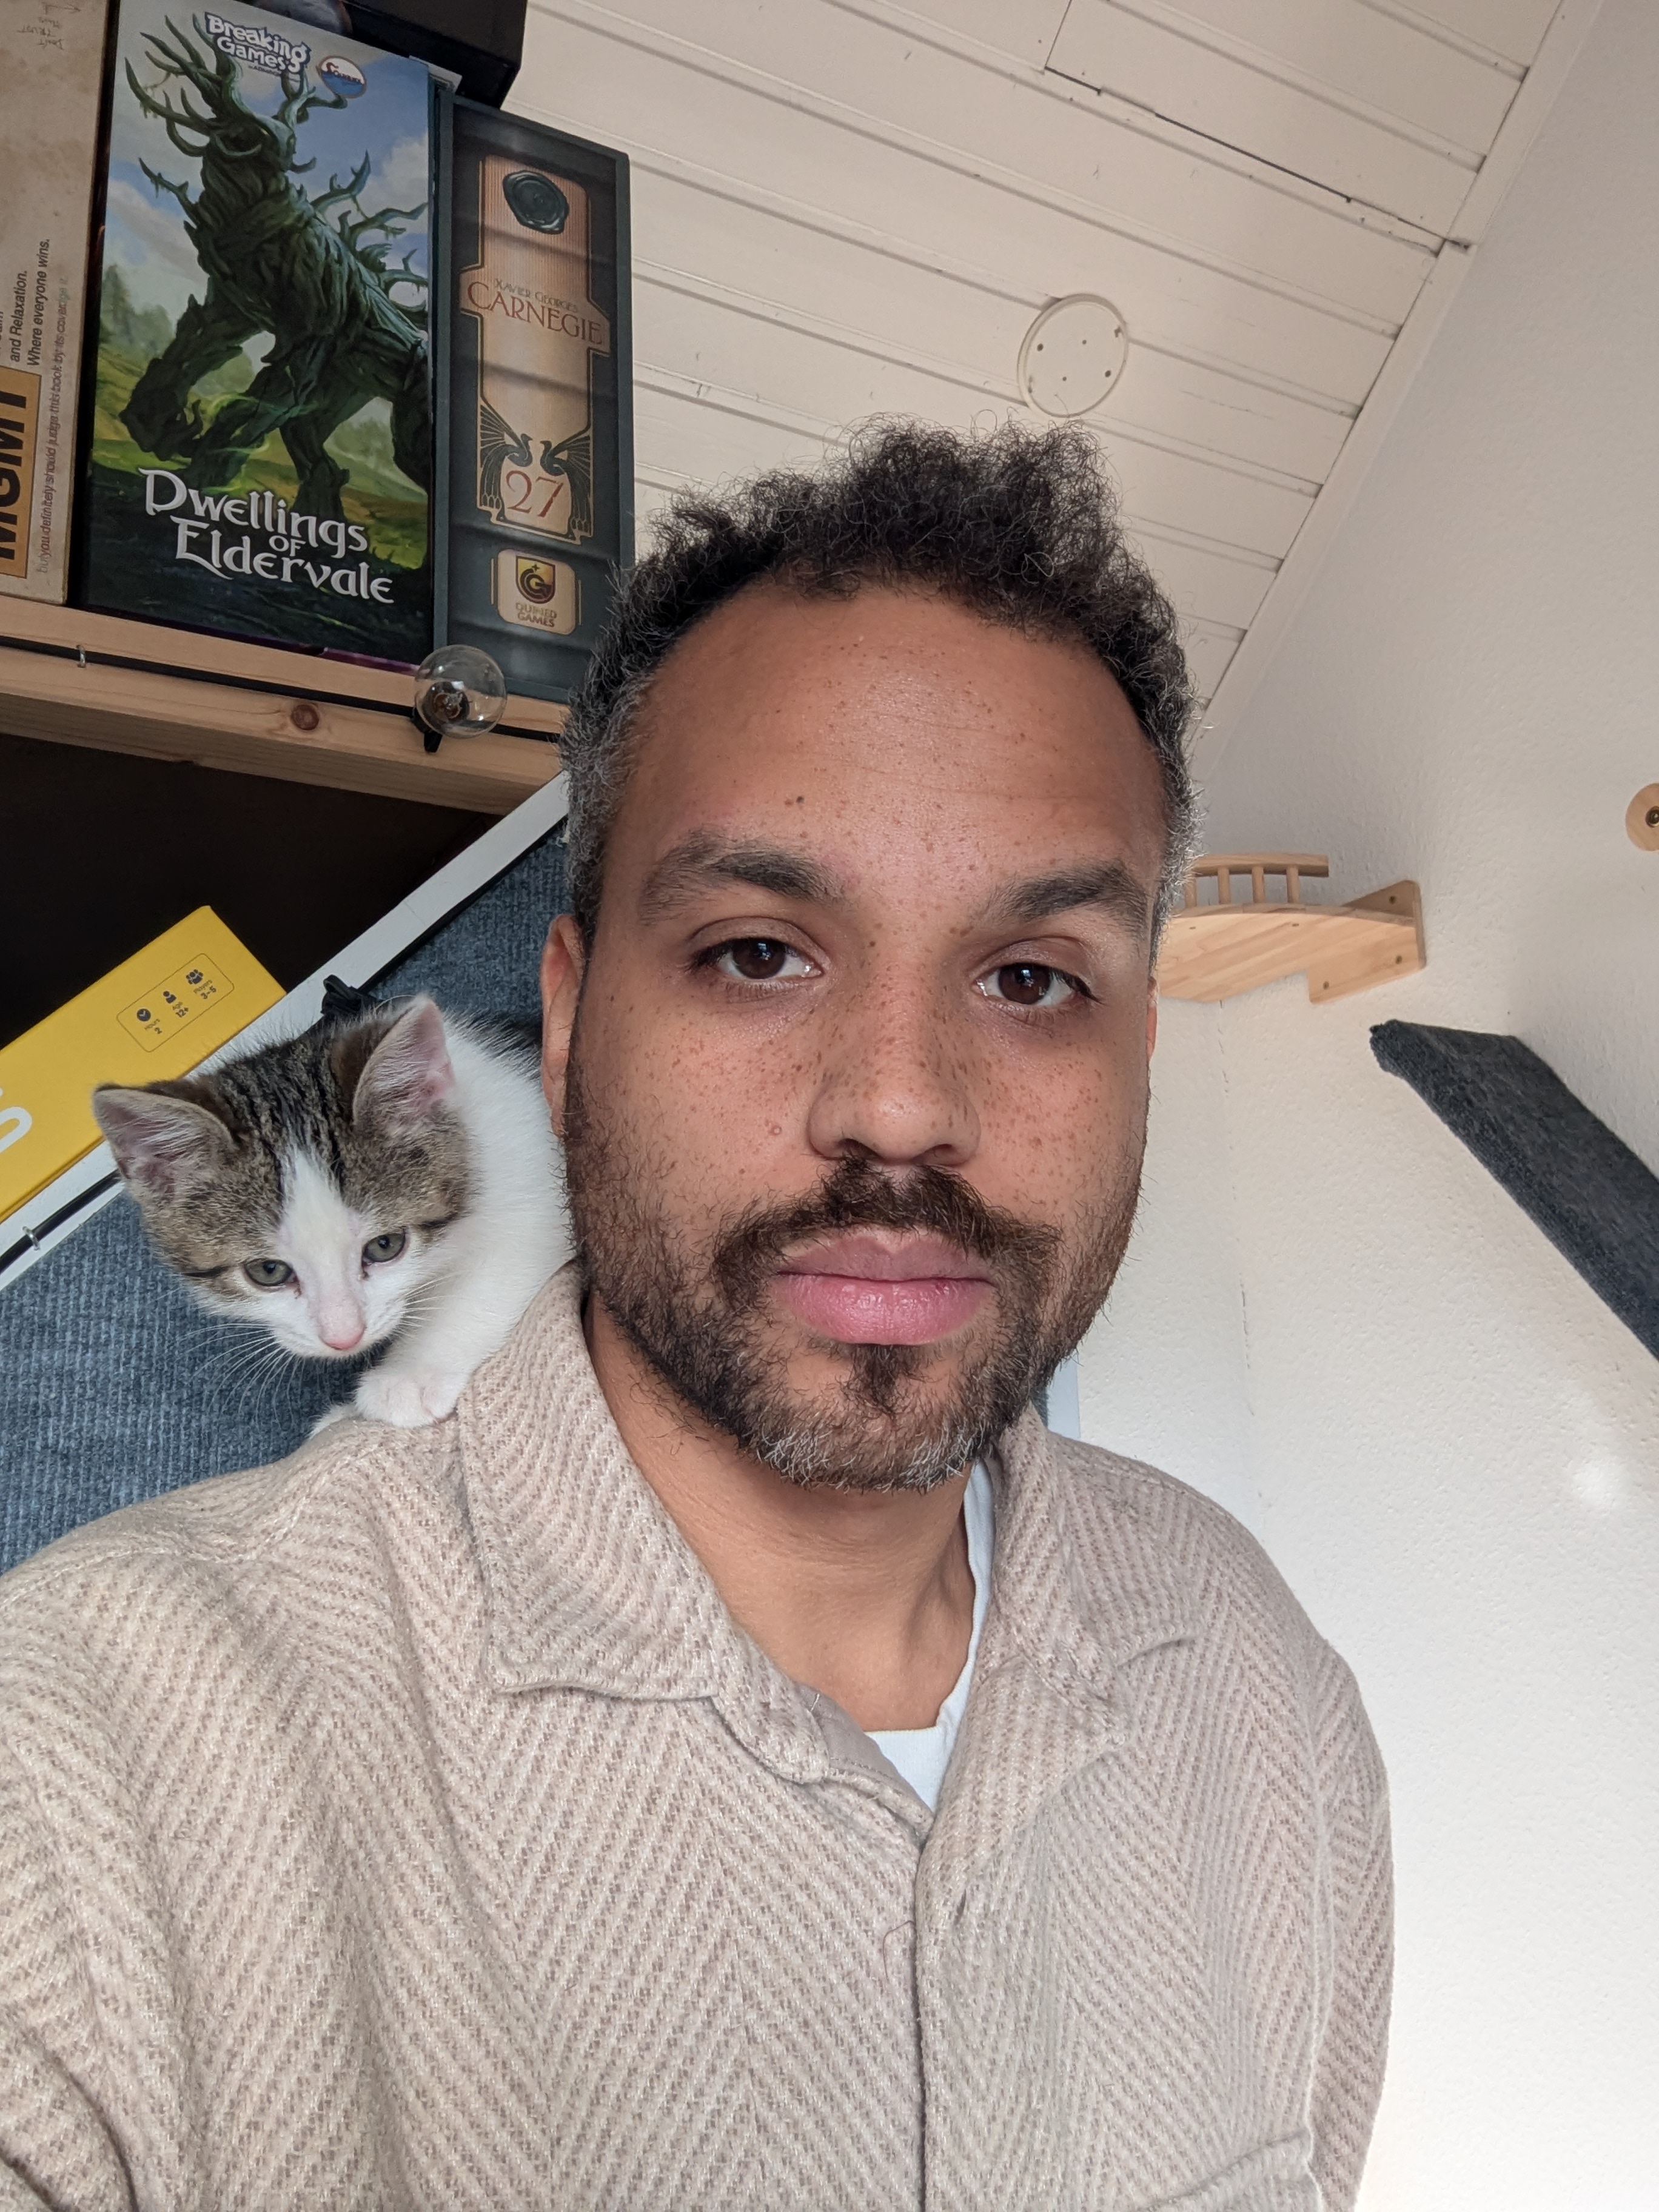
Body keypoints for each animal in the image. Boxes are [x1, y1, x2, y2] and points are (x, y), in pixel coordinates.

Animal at [91, 985, 570, 1429]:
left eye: (385, 1245)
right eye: (268, 1271)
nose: (345, 1338)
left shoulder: (544, 1180)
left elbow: (499, 1269)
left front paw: (407, 1375)